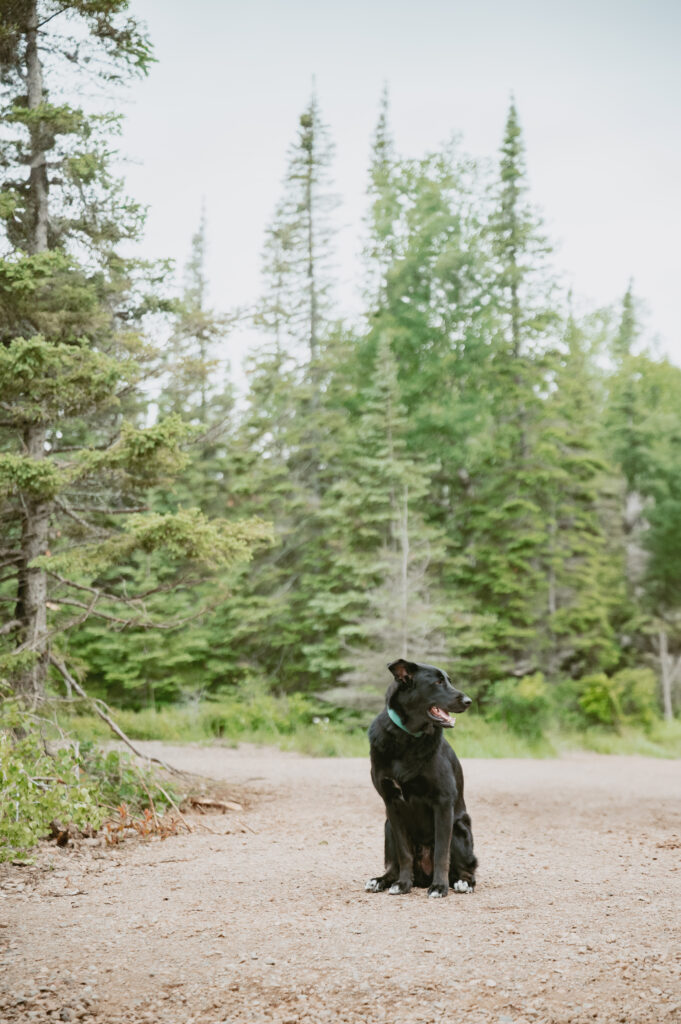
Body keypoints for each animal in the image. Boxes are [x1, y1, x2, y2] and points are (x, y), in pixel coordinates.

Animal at [364, 659, 475, 901]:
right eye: (438, 682)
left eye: (449, 680)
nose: (468, 701)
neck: (406, 737)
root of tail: (423, 877)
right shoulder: (392, 804)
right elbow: (404, 853)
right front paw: (403, 884)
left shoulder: (443, 803)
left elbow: (441, 853)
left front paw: (440, 887)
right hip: (387, 827)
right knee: (392, 866)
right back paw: (382, 880)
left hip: (459, 828)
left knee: (467, 869)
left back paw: (462, 882)